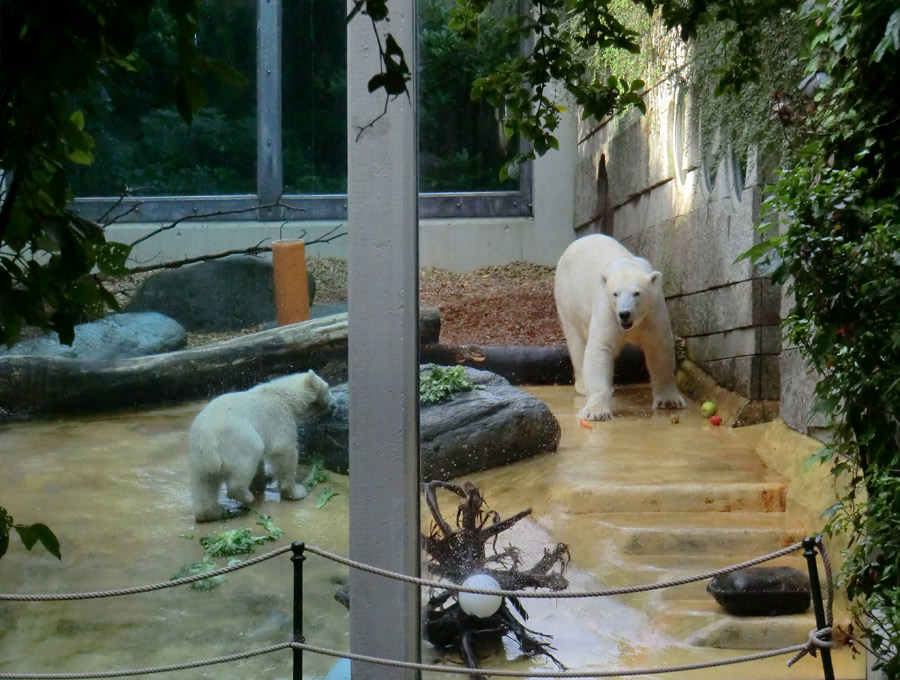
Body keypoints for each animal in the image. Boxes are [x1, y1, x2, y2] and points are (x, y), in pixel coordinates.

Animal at [188, 372, 336, 520]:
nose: (334, 405)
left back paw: (214, 512)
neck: (285, 395)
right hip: (237, 440)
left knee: (204, 484)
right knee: (247, 460)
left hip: (198, 458)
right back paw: (246, 497)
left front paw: (264, 478)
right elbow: (283, 450)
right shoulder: (279, 417)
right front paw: (295, 491)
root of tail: (207, 440)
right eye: (328, 387)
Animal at [552, 236, 684, 422]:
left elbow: (659, 348)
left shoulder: (653, 311)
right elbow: (601, 347)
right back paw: (584, 386)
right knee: (576, 341)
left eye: (637, 293)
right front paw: (596, 411)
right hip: (567, 297)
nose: (624, 314)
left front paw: (669, 401)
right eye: (615, 294)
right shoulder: (607, 310)